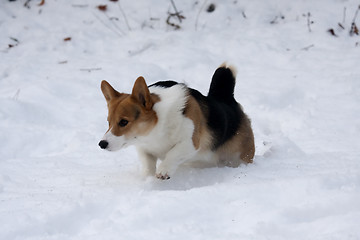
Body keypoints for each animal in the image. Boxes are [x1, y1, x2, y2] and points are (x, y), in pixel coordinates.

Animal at [99, 64, 256, 179]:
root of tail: (226, 100)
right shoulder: (144, 148)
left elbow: (173, 153)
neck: (155, 128)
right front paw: (147, 177)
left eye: (123, 122)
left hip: (240, 156)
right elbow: (147, 163)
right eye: (108, 122)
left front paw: (164, 170)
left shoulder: (190, 143)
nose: (101, 144)